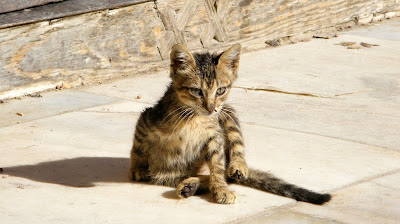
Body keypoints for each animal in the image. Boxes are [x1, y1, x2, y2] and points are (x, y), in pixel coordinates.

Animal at [130, 43, 332, 205]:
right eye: (196, 91)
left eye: (220, 90)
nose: (211, 108)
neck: (193, 119)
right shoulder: (146, 119)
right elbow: (138, 147)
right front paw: (137, 168)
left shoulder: (215, 134)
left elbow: (217, 166)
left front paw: (220, 189)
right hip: (166, 176)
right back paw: (189, 185)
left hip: (227, 113)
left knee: (228, 165)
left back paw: (233, 168)